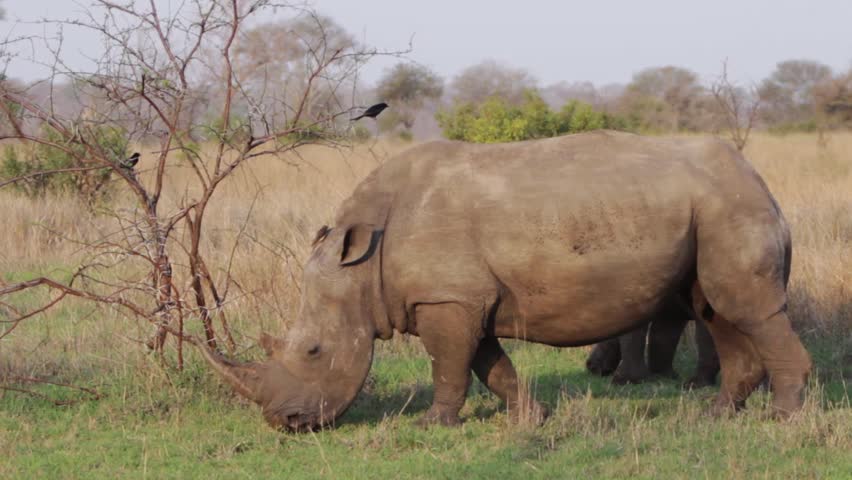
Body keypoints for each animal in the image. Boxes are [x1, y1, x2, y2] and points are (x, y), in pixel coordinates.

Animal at [200, 131, 811, 431]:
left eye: (313, 351)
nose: (285, 423)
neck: (363, 263)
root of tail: (759, 180)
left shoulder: (446, 299)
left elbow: (450, 366)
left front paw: (433, 425)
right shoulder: (463, 299)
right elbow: (489, 366)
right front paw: (532, 417)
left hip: (730, 206)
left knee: (745, 308)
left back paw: (783, 418)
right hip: (711, 208)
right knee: (717, 310)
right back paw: (718, 414)